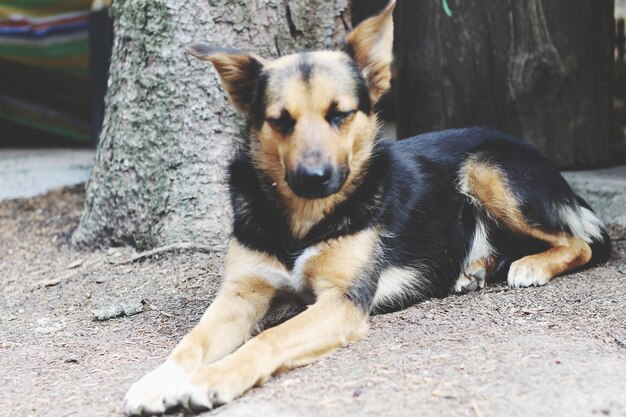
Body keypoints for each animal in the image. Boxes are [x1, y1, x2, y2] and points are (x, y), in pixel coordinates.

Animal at [123, 1, 608, 412]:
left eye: (340, 114)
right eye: (280, 120)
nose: (314, 177)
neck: (303, 222)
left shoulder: (341, 302)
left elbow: (268, 339)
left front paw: (211, 380)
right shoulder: (242, 293)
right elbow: (192, 341)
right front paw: (157, 381)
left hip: (487, 170)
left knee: (583, 240)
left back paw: (531, 265)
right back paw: (471, 270)